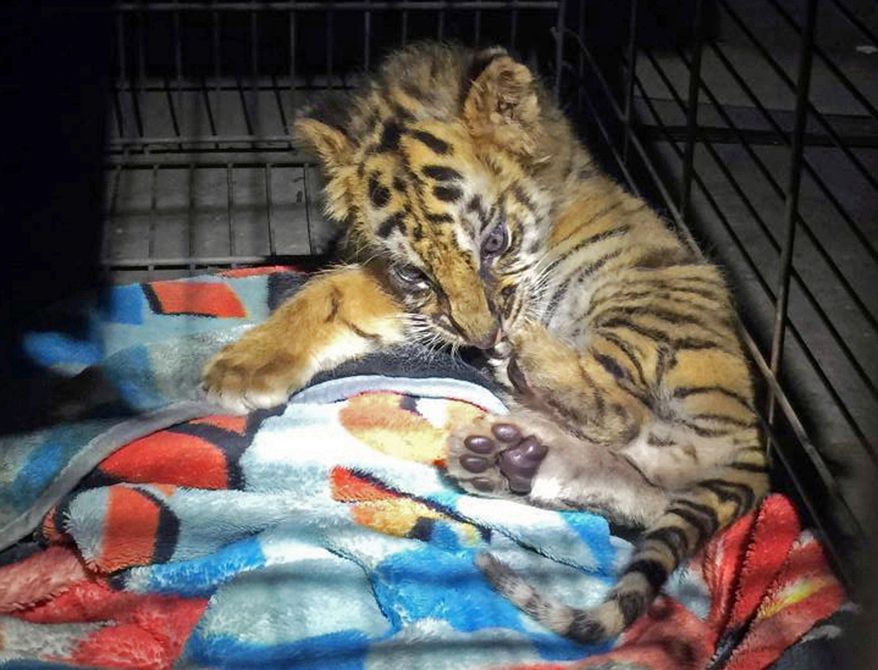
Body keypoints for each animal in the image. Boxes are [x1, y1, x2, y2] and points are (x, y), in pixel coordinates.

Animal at [202, 42, 769, 643]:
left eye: (495, 242)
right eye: (416, 274)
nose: (484, 338)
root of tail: (753, 445)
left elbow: (332, 289)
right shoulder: (407, 297)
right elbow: (332, 296)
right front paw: (245, 366)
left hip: (642, 307)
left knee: (621, 413)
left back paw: (526, 359)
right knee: (640, 476)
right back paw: (503, 458)